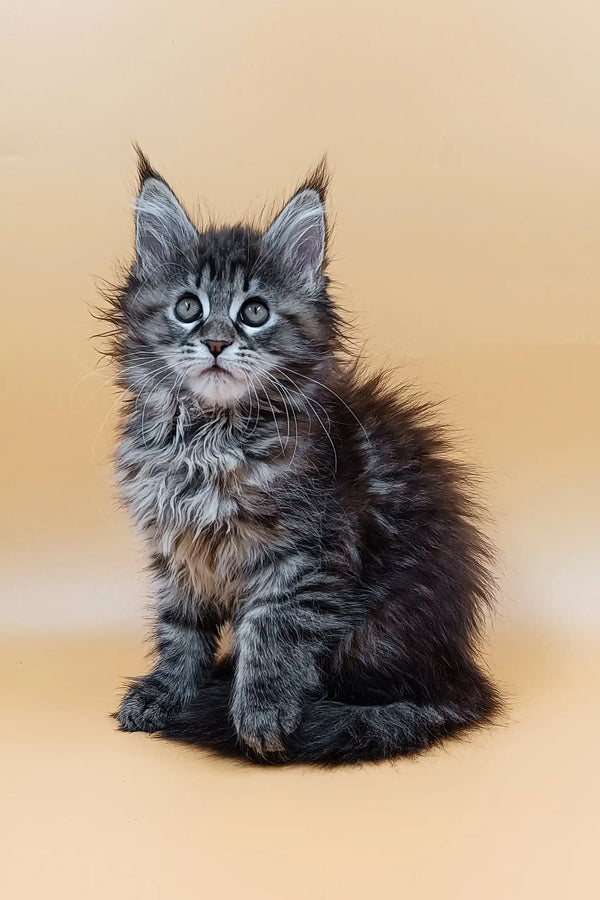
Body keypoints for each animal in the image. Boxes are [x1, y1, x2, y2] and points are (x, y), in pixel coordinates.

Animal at [104, 153, 502, 768]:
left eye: (255, 312)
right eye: (188, 307)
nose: (216, 342)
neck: (208, 438)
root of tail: (459, 670)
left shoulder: (306, 556)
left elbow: (273, 632)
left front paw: (261, 712)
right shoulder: (177, 555)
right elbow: (179, 631)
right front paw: (167, 691)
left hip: (372, 633)